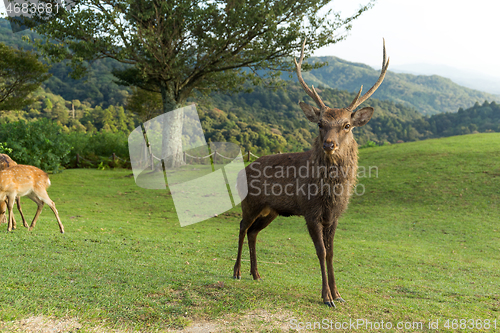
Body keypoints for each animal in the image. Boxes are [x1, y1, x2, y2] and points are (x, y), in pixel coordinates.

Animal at [234, 38, 390, 306]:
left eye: (347, 125)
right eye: (320, 123)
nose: (329, 144)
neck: (329, 193)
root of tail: (240, 171)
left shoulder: (334, 215)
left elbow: (332, 252)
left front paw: (339, 294)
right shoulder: (310, 211)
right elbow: (321, 251)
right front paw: (326, 296)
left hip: (271, 210)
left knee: (253, 232)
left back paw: (256, 274)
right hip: (250, 202)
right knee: (243, 227)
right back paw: (236, 272)